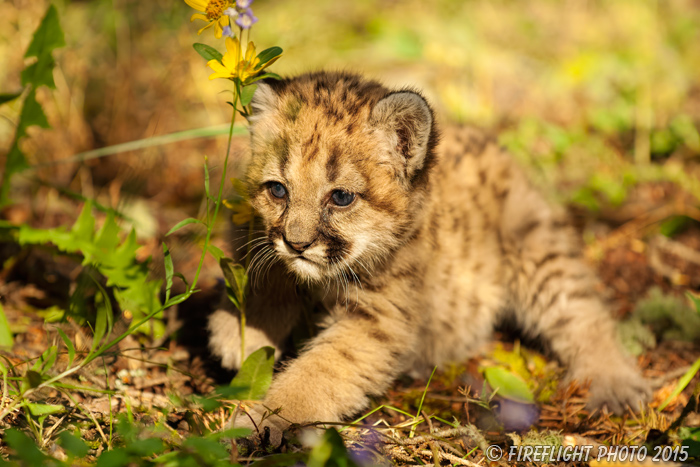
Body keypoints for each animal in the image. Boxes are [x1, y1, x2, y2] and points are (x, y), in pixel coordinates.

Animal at [209, 71, 652, 436]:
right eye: (277, 190)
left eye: (341, 197)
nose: (296, 243)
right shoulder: (255, 228)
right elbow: (264, 266)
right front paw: (239, 332)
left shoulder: (376, 322)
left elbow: (314, 376)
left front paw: (258, 424)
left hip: (535, 250)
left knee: (583, 314)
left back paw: (614, 382)